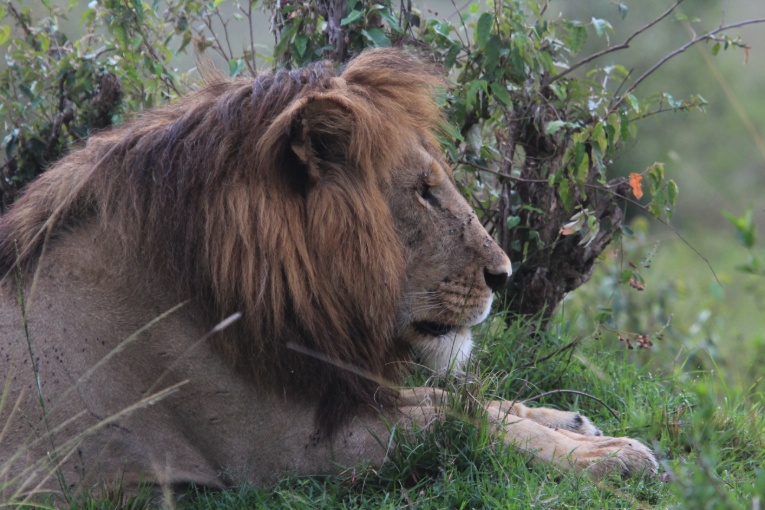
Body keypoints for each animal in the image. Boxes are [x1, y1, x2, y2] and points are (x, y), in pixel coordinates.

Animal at [1, 47, 656, 498]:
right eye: (423, 193)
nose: (503, 274)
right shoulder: (287, 452)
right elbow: (456, 416)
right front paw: (612, 458)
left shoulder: (331, 392)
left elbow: (455, 396)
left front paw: (571, 420)